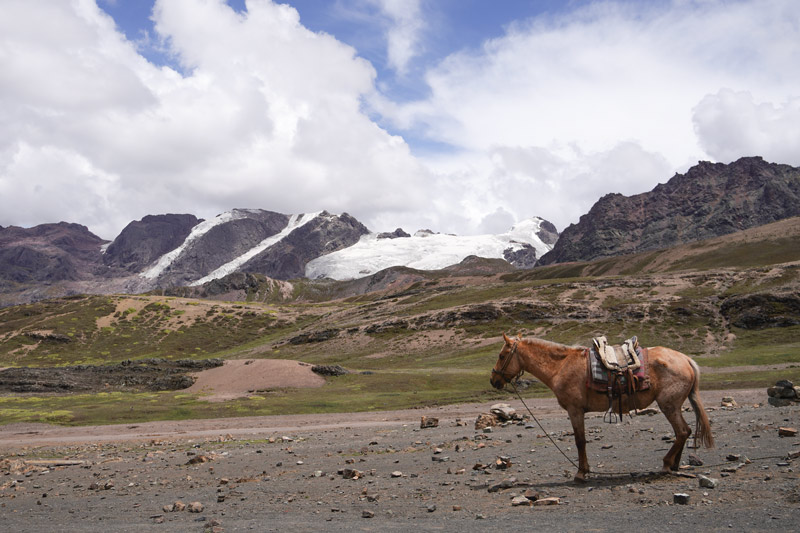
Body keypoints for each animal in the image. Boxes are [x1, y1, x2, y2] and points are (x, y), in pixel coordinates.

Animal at [490, 333, 714, 482]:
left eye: (501, 356)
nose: (493, 380)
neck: (560, 367)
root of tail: (686, 359)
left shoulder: (575, 410)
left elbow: (580, 441)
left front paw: (581, 472)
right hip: (673, 406)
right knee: (684, 432)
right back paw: (674, 464)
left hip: (669, 405)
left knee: (682, 431)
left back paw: (667, 464)